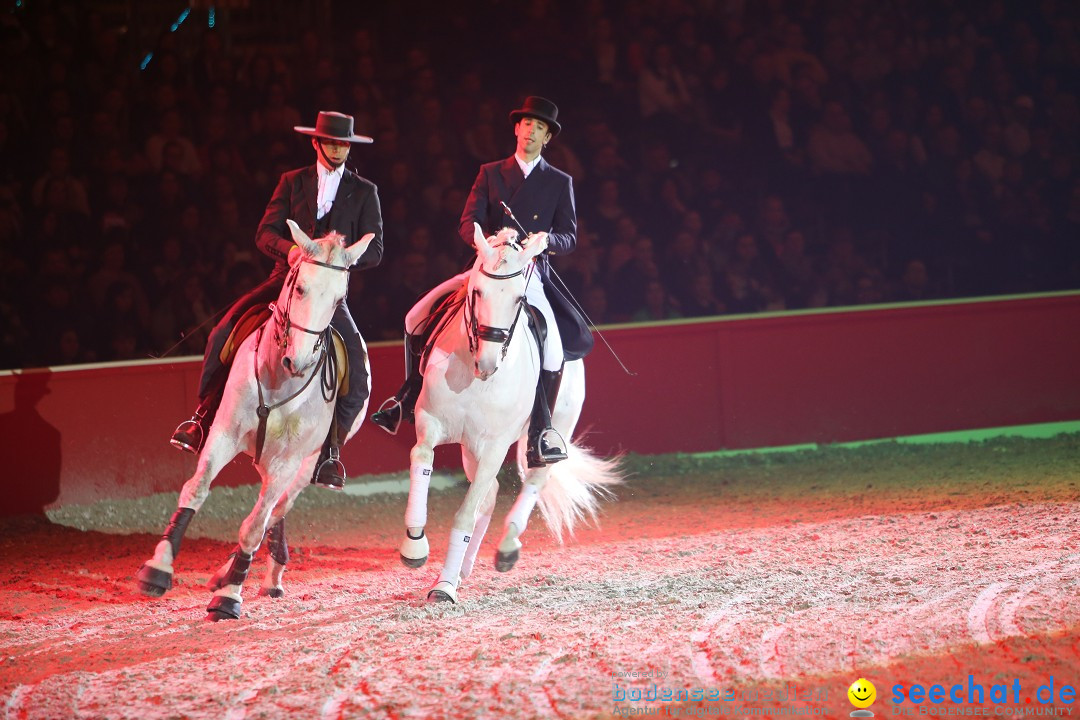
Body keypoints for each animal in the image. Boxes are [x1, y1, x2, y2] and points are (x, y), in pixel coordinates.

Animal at [137, 220, 373, 621]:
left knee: (275, 513)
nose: (299, 362)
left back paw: (263, 575)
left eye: (338, 298)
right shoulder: (224, 435)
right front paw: (159, 568)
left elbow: (253, 527)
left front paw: (230, 596)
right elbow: (195, 490)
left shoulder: (287, 462)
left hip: (306, 466)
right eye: (299, 286)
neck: (280, 381)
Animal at [399, 223, 622, 604]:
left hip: (551, 430)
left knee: (532, 481)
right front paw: (415, 546)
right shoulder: (430, 421)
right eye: (477, 291)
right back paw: (462, 568)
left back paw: (505, 548)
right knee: (488, 496)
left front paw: (443, 588)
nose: (488, 364)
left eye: (519, 299)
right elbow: (421, 459)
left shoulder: (494, 445)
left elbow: (465, 513)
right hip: (469, 447)